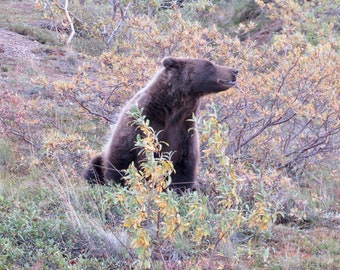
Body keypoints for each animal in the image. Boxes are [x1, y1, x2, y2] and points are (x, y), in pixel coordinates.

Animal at [83, 56, 238, 191]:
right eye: (209, 64)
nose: (234, 71)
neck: (171, 111)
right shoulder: (140, 125)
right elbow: (121, 161)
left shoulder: (183, 131)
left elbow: (183, 167)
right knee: (94, 166)